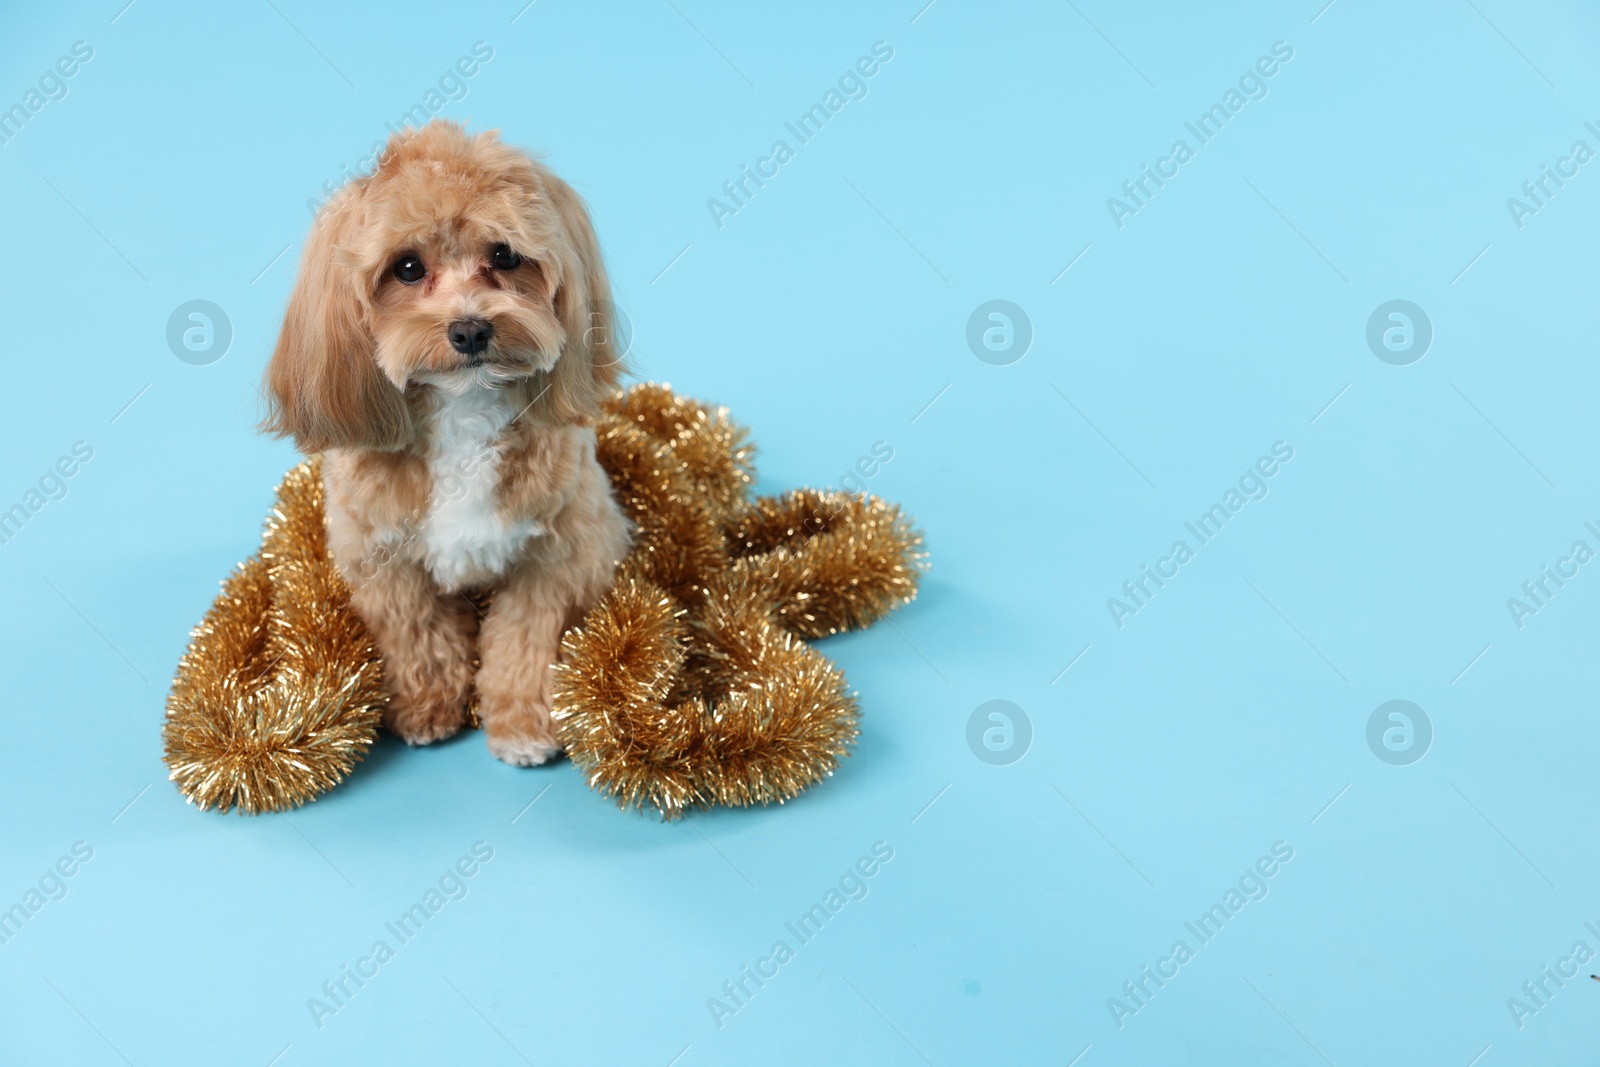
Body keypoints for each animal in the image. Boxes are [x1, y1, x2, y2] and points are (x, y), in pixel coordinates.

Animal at [264, 120, 630, 764]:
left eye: (505, 255)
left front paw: (522, 723)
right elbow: (417, 634)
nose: (470, 329)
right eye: (407, 268)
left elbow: (525, 639)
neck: (465, 409)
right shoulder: (382, 557)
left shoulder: (562, 550)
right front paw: (426, 707)